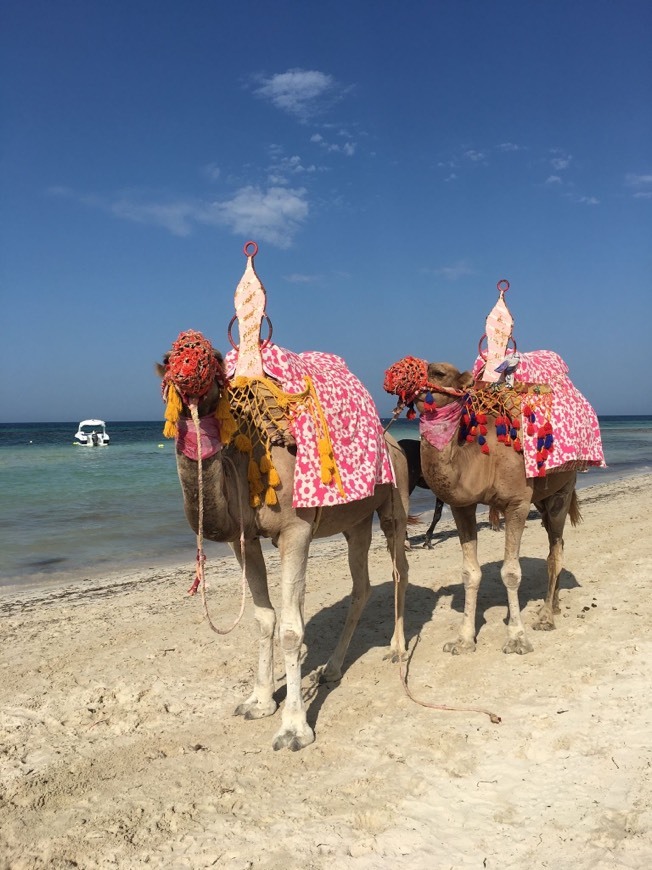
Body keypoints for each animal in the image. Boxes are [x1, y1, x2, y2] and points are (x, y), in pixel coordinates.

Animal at [157, 242, 408, 752]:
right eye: (171, 357)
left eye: (208, 359)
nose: (184, 373)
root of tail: (393, 437)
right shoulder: (245, 539)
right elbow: (263, 618)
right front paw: (257, 702)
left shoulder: (295, 531)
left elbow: (293, 628)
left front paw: (294, 728)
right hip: (355, 523)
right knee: (361, 585)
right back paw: (332, 669)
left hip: (394, 504)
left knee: (399, 570)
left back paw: (395, 649)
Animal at [384, 280, 604, 656]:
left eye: (438, 372)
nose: (398, 371)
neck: (477, 457)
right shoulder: (463, 504)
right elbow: (470, 573)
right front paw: (462, 640)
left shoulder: (516, 503)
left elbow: (511, 572)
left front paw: (516, 637)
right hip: (543, 496)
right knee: (555, 547)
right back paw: (556, 605)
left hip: (563, 489)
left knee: (555, 549)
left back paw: (546, 616)